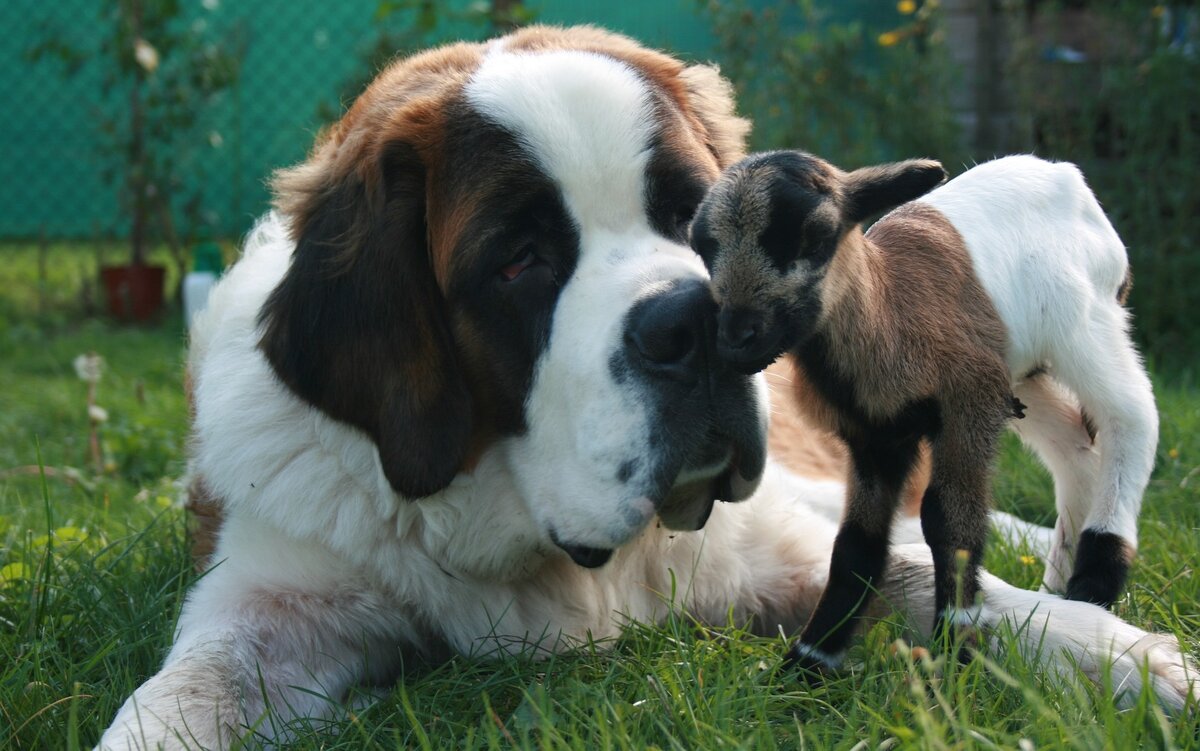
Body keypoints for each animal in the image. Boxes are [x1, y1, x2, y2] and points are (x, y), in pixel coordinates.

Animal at [691, 150, 1156, 667]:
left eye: (815, 236)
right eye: (704, 247)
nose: (735, 338)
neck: (888, 313)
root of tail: (1063, 173)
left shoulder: (969, 403)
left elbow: (947, 518)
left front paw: (956, 644)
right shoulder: (875, 438)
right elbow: (856, 542)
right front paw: (810, 660)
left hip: (1087, 323)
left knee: (1132, 417)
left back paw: (1096, 577)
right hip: (1023, 369)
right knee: (1073, 449)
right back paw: (1058, 586)